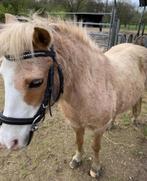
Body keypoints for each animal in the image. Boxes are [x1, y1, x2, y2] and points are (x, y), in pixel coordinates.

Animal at [0, 14, 147, 178]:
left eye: (36, 82)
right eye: (2, 75)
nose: (8, 141)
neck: (88, 87)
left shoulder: (98, 128)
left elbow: (95, 147)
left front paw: (95, 168)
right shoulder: (76, 124)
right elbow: (79, 141)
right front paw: (77, 159)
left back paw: (135, 119)